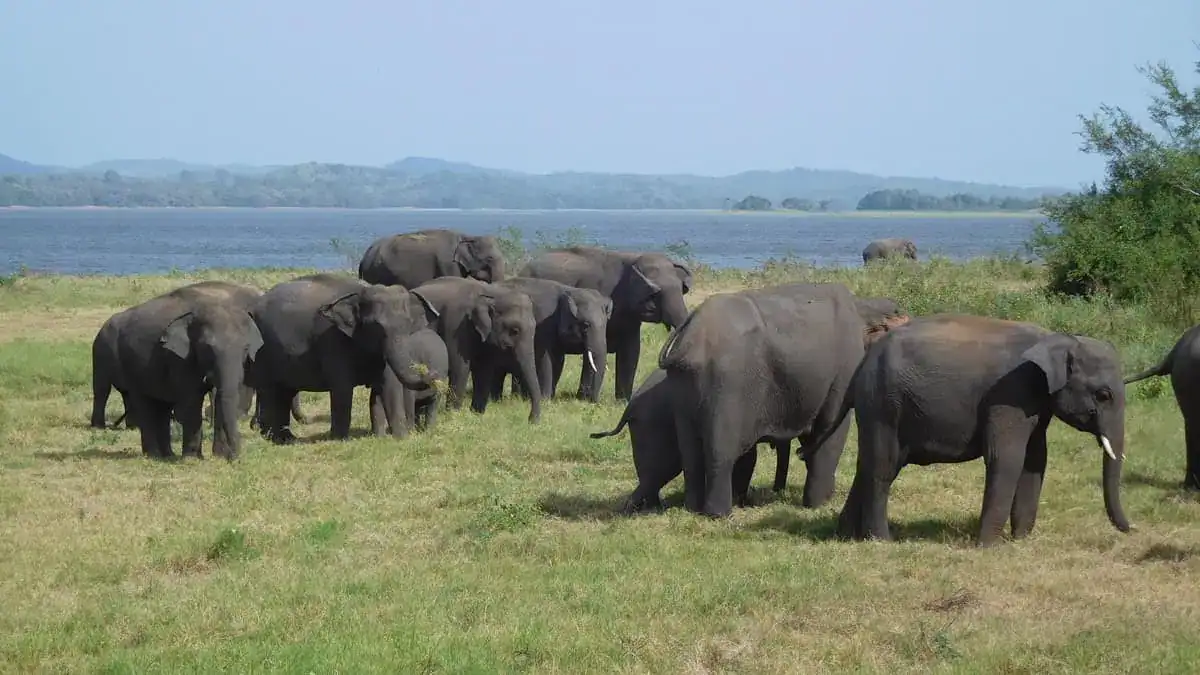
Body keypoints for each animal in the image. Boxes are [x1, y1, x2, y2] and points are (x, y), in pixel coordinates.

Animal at [250, 273, 440, 443]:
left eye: (409, 324)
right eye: (376, 326)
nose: (432, 374)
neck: (362, 291)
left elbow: (388, 386)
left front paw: (398, 438)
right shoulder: (333, 340)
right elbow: (342, 387)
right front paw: (340, 439)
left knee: (283, 392)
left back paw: (287, 439)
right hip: (262, 352)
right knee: (270, 392)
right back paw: (273, 438)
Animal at [408, 277, 542, 422]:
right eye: (515, 331)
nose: (530, 421)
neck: (492, 292)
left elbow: (484, 370)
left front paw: (476, 414)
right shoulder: (456, 326)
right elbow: (460, 368)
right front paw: (453, 415)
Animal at [521, 246, 692, 401]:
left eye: (681, 290)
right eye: (656, 294)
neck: (634, 259)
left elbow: (631, 350)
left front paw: (622, 401)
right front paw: (584, 399)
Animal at [593, 295, 911, 513]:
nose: (778, 490)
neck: (865, 306)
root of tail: (686, 341)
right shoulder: (842, 372)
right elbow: (831, 432)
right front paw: (818, 505)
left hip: (686, 387)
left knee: (691, 451)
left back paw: (689, 509)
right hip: (726, 383)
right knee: (719, 451)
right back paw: (718, 513)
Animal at [805, 313, 1131, 548]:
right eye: (1103, 395)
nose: (1131, 529)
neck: (1056, 338)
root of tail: (862, 363)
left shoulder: (1037, 402)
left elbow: (1036, 458)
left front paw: (1021, 540)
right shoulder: (1010, 394)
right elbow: (1007, 458)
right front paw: (988, 546)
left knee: (871, 463)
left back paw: (846, 535)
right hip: (883, 403)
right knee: (882, 468)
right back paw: (882, 542)